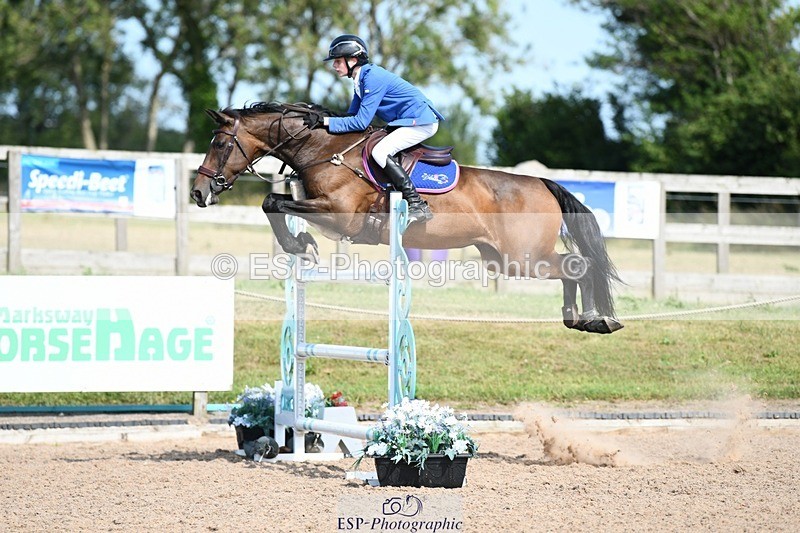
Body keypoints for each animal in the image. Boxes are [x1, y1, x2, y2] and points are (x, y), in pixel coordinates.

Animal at [190, 101, 623, 334]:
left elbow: (272, 203)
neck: (323, 150)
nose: (198, 192)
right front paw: (301, 244)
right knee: (572, 268)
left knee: (578, 265)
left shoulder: (340, 216)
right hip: (503, 259)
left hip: (523, 258)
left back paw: (594, 319)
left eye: (220, 145)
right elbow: (274, 204)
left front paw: (301, 243)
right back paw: (577, 318)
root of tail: (542, 182)